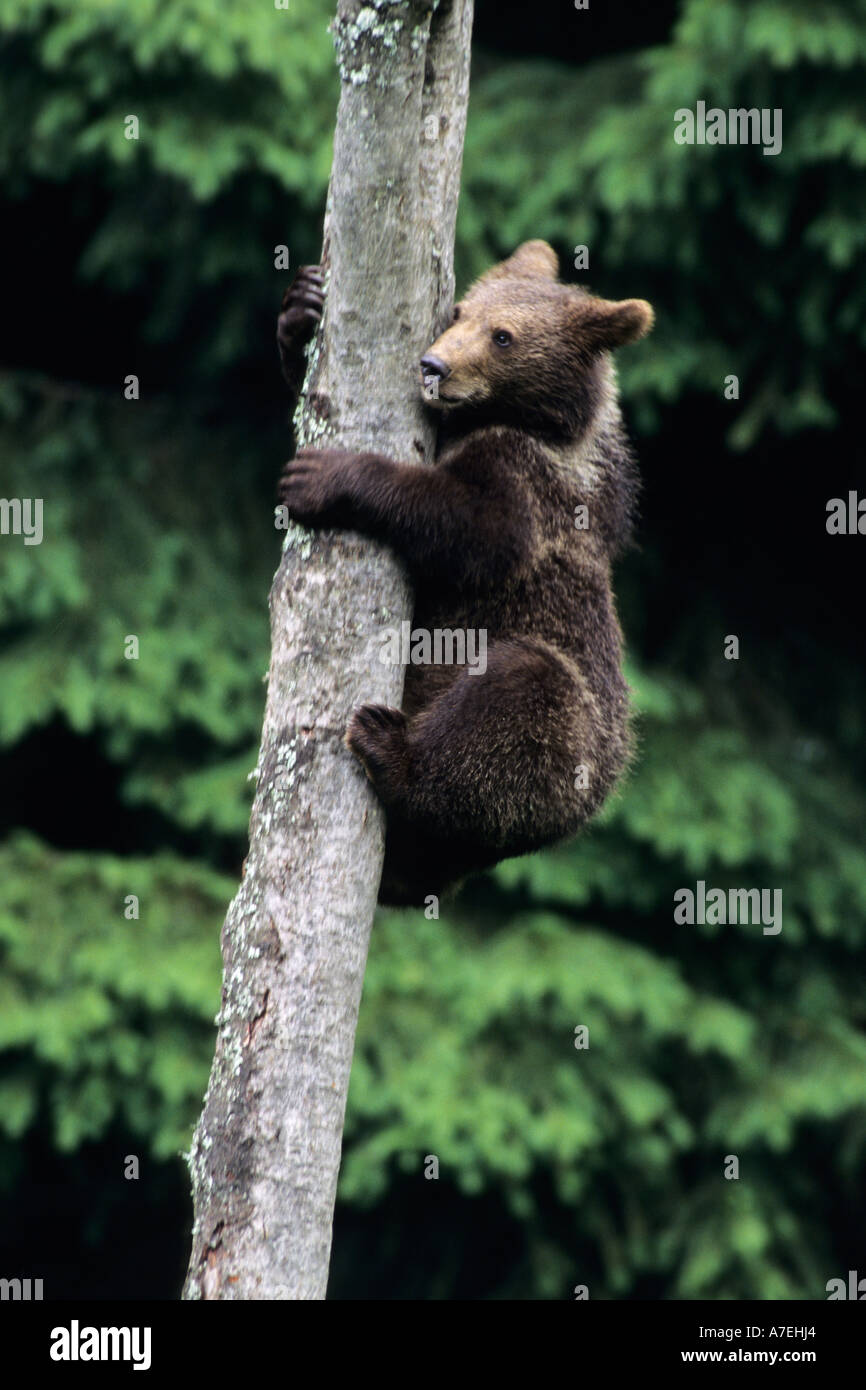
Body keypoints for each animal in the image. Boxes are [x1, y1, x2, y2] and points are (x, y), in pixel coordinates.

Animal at [276, 241, 653, 905]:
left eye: (503, 336)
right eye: (458, 312)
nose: (433, 366)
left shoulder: (532, 484)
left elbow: (476, 529)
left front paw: (323, 475)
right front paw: (303, 303)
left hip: (569, 745)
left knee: (519, 695)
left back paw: (389, 745)